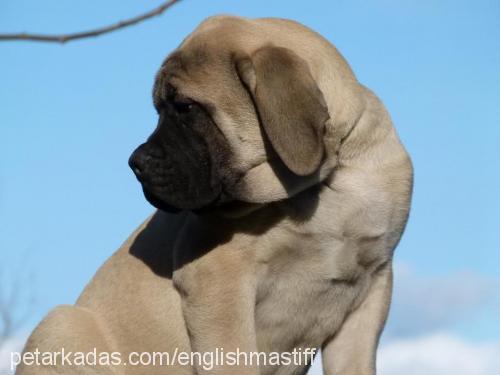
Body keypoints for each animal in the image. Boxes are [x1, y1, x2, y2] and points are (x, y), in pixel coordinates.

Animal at [17, 15, 412, 375]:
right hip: (63, 326)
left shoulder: (371, 288)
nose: (135, 162)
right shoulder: (219, 281)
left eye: (186, 108)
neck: (323, 184)